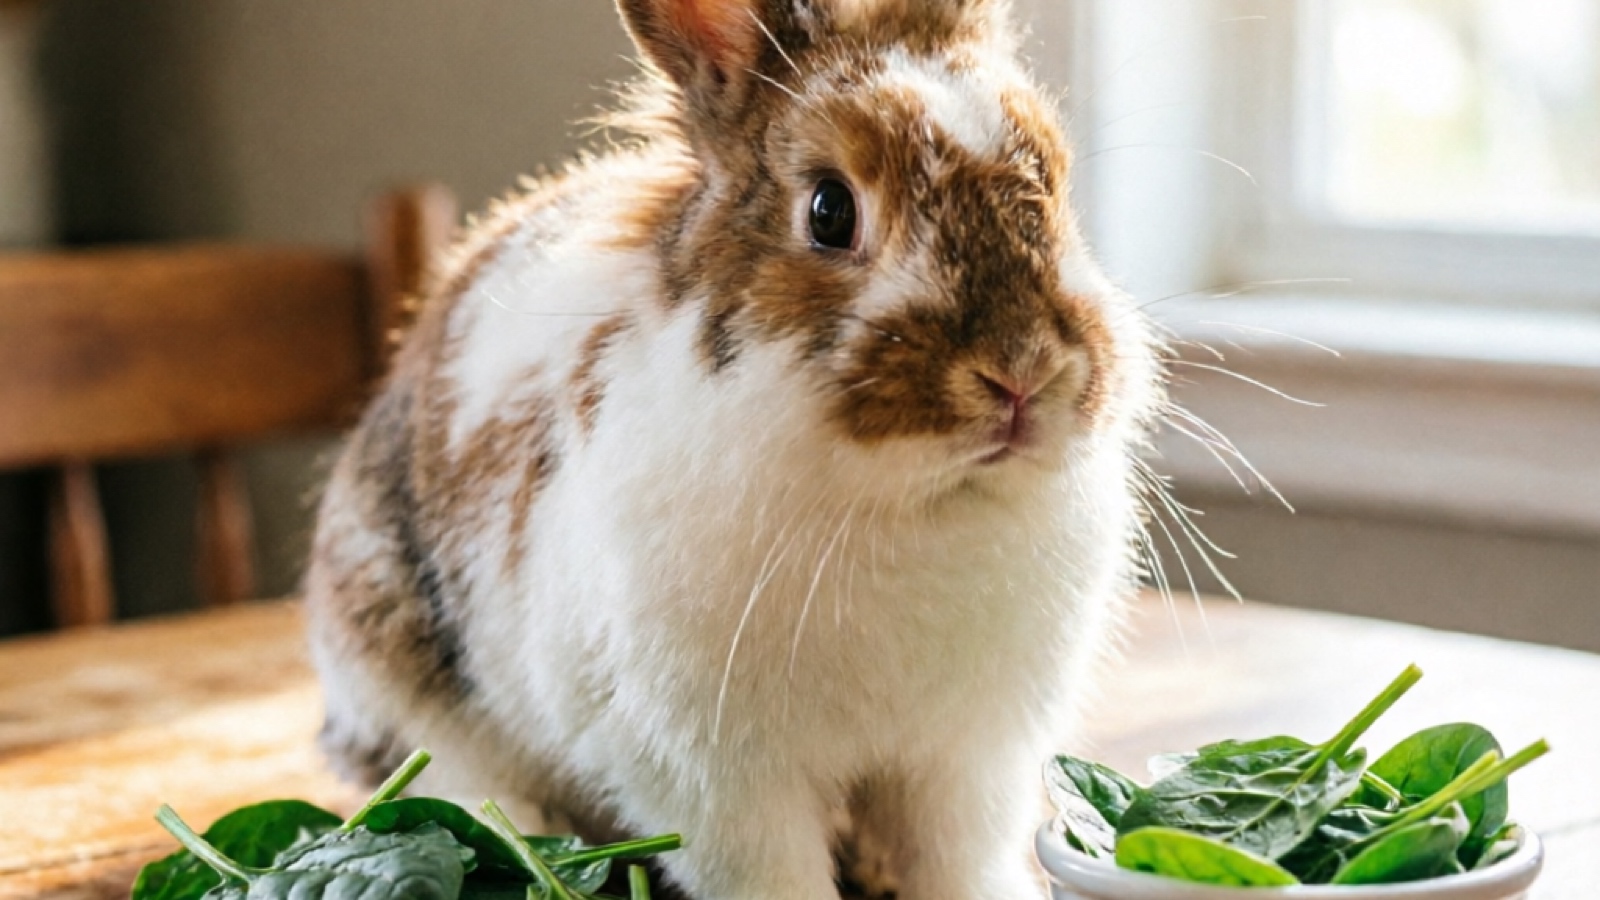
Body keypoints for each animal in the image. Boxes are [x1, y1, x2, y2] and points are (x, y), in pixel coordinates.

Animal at [304, 0, 1166, 897]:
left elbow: (957, 861)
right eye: (830, 210)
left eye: (1056, 183)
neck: (909, 504)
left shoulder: (962, 766)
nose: (1023, 372)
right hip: (399, 668)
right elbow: (774, 873)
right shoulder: (718, 784)